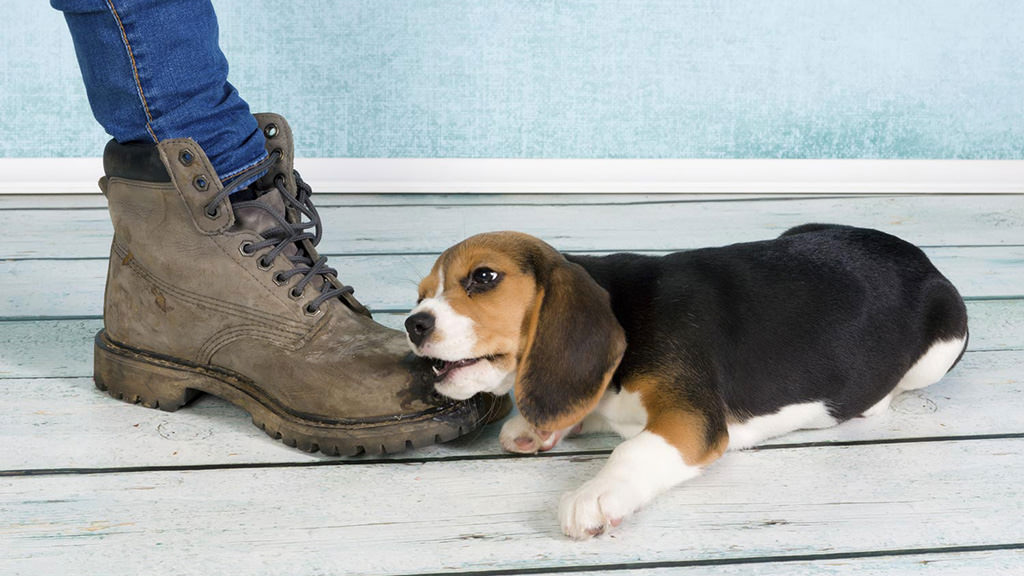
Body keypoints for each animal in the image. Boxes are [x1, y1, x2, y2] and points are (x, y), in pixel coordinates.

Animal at [401, 222, 966, 537]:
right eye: (421, 293)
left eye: (484, 277)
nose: (413, 324)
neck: (623, 312)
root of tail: (916, 253)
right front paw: (541, 427)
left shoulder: (690, 419)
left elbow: (632, 450)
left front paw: (595, 495)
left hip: (944, 342)